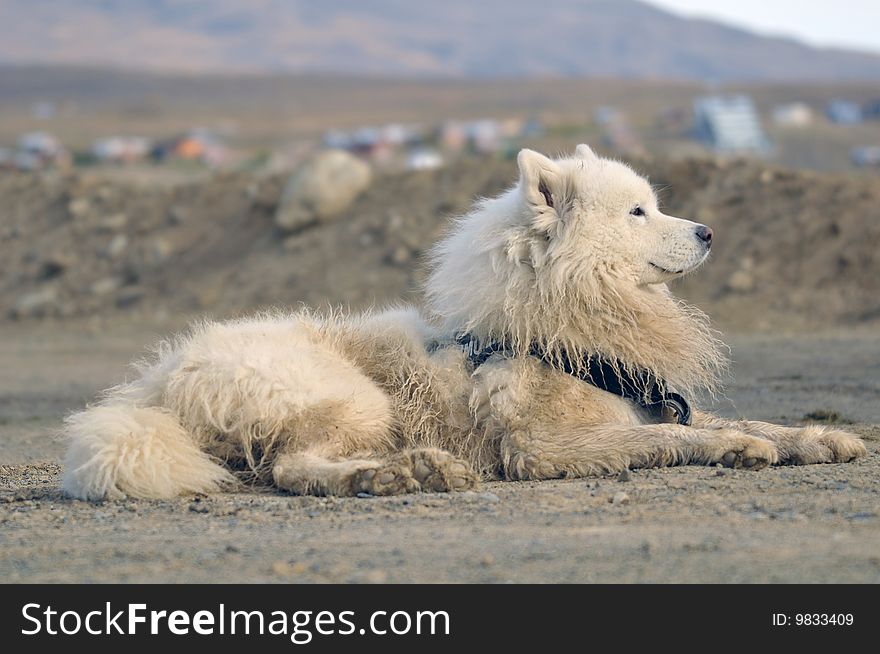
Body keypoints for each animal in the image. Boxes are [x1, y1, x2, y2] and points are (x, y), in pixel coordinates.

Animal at [62, 146, 868, 500]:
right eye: (640, 211)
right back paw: (396, 473)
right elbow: (666, 438)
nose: (708, 232)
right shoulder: (543, 448)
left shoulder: (641, 401)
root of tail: (158, 383)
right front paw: (737, 448)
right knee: (292, 468)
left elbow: (742, 420)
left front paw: (814, 437)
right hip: (355, 397)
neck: (559, 323)